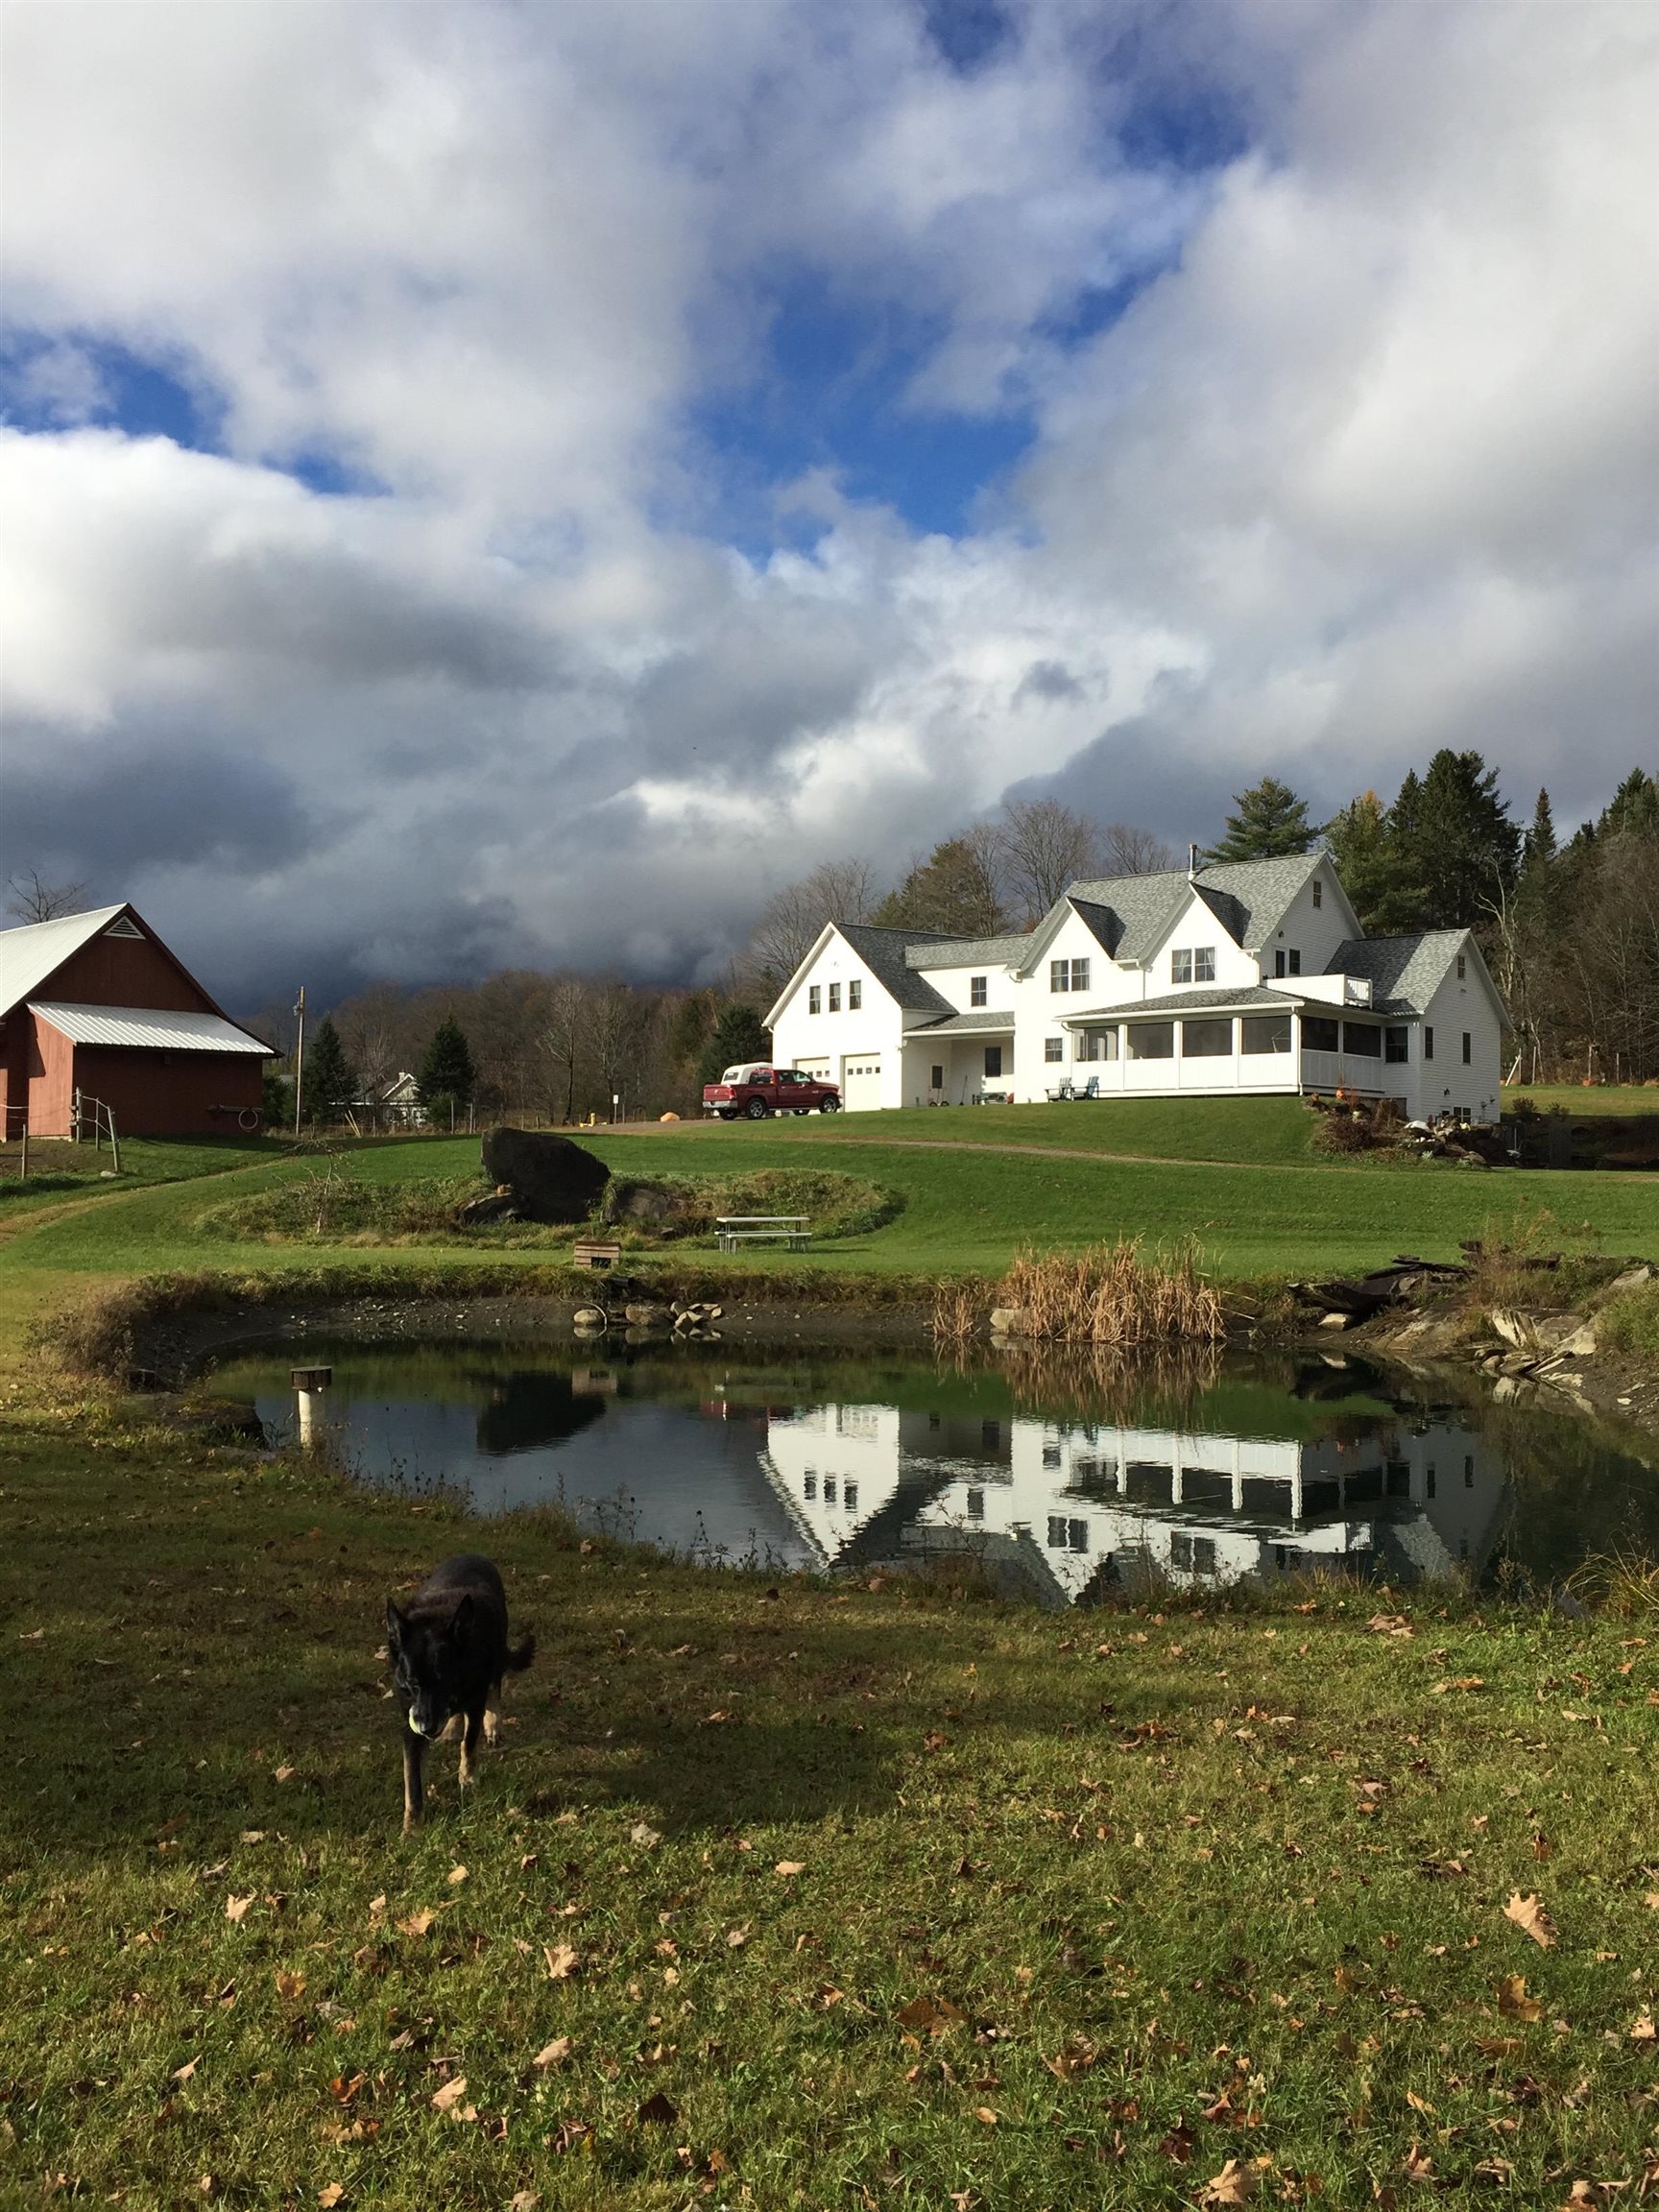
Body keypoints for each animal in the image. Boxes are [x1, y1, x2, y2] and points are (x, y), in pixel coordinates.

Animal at [387, 1557, 535, 1831]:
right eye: (412, 1683)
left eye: (443, 1681)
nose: (426, 1728)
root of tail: (473, 1554)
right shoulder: (410, 1726)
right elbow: (412, 1779)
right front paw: (412, 1827)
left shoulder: (474, 1703)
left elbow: (469, 1743)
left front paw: (467, 1778)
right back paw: (452, 1726)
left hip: (496, 1658)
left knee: (495, 1688)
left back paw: (493, 1725)